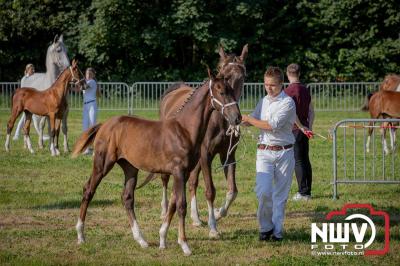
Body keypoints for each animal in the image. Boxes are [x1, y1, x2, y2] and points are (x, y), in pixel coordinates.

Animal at [71, 69, 241, 256]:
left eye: (233, 91)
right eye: (222, 92)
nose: (237, 118)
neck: (184, 129)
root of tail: (104, 125)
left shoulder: (183, 173)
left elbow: (173, 204)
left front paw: (162, 239)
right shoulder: (179, 171)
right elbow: (181, 205)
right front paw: (184, 245)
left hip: (130, 168)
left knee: (127, 198)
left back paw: (141, 240)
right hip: (102, 165)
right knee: (88, 190)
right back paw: (80, 235)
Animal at [139, 44, 248, 237]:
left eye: (242, 76)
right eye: (224, 73)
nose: (236, 117)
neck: (219, 121)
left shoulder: (228, 156)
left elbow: (232, 190)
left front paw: (218, 213)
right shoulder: (206, 155)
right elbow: (210, 190)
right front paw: (213, 227)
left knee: (192, 182)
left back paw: (196, 218)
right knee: (166, 179)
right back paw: (165, 210)